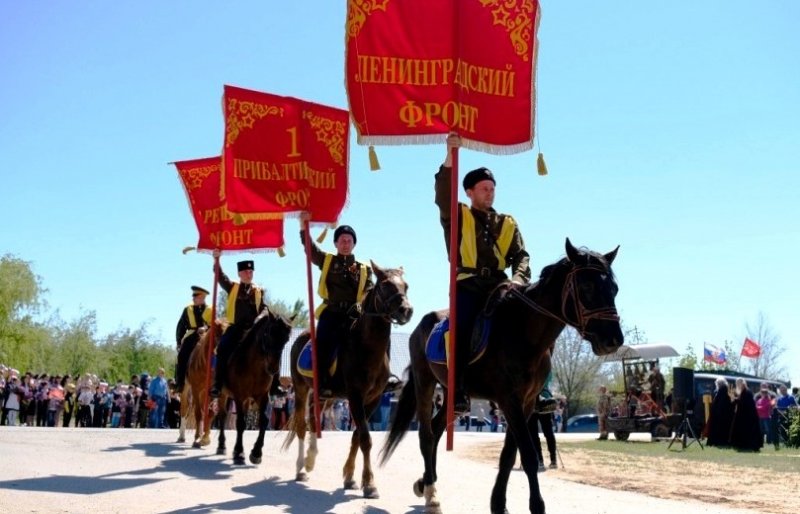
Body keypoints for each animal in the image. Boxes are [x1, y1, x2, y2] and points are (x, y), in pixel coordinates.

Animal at [282, 260, 412, 496]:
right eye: (385, 285)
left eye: (405, 286)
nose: (406, 310)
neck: (367, 347)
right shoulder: (355, 396)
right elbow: (365, 438)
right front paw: (369, 483)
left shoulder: (373, 399)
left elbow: (356, 437)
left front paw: (350, 477)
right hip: (301, 389)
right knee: (302, 426)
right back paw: (301, 468)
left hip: (325, 396)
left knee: (314, 420)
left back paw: (311, 459)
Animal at [382, 238, 624, 510]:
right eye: (587, 286)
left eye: (614, 289)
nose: (613, 340)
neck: (522, 331)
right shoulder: (510, 400)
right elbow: (528, 454)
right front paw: (536, 505)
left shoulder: (526, 403)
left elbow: (509, 455)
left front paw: (498, 503)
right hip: (424, 383)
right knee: (426, 435)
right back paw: (431, 494)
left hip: (451, 397)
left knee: (436, 431)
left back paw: (425, 482)